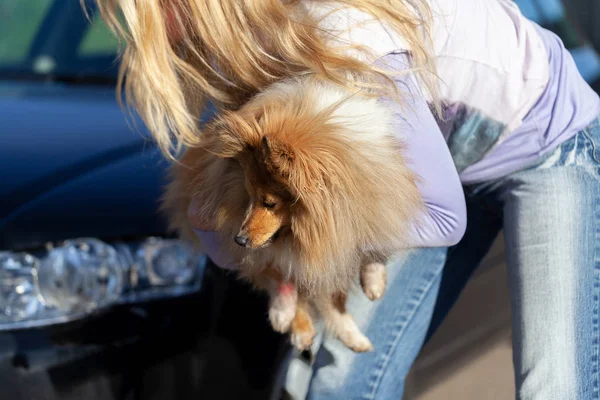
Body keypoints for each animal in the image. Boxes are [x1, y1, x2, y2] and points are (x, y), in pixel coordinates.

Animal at [159, 76, 422, 352]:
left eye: (269, 203)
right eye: (249, 196)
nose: (239, 240)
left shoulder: (353, 229)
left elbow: (369, 253)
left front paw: (373, 281)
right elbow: (281, 275)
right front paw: (286, 314)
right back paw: (298, 324)